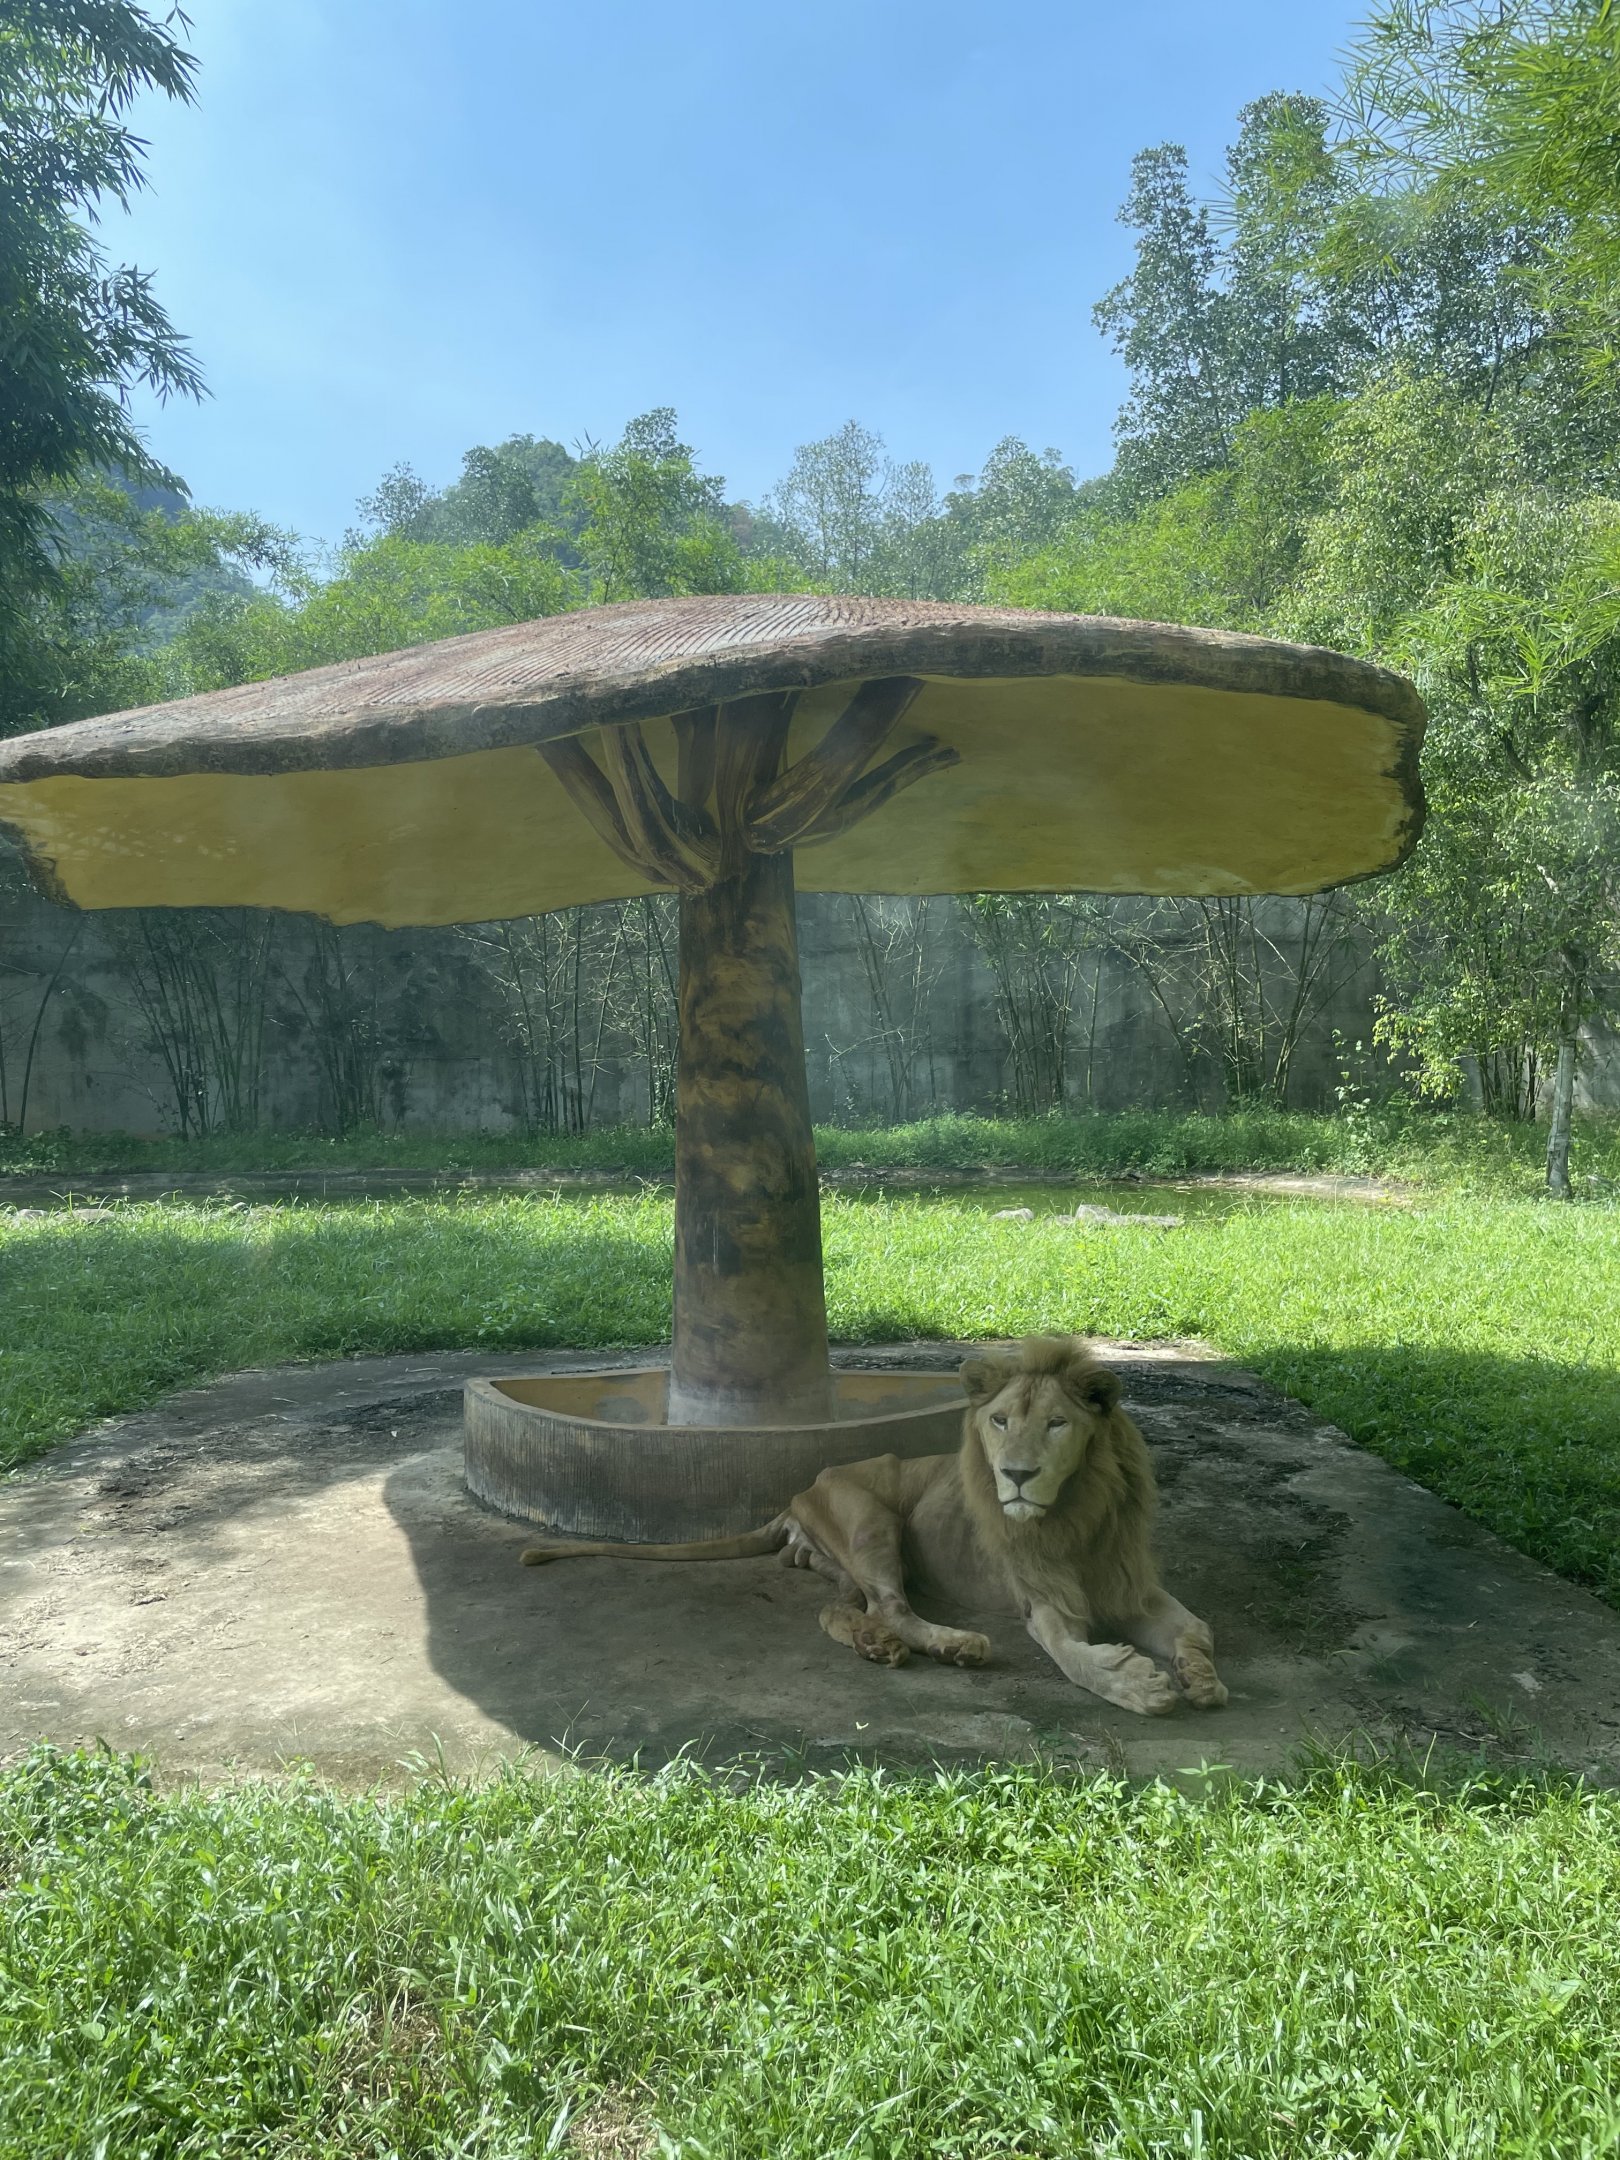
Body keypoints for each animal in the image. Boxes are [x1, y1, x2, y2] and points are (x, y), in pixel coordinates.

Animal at [520, 1334, 1227, 1717]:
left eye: (1056, 1424)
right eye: (999, 1421)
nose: (1016, 1476)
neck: (1078, 1513)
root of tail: (799, 1492)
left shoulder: (1131, 1587)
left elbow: (1197, 1630)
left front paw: (1200, 1678)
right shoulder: (1044, 1600)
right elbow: (1073, 1658)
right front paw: (1135, 1683)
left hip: (842, 1561)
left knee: (837, 1610)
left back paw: (873, 1645)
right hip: (870, 1520)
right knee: (892, 1606)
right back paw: (951, 1645)